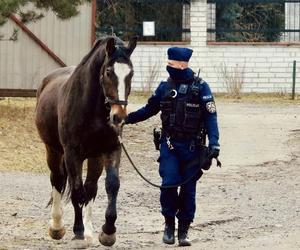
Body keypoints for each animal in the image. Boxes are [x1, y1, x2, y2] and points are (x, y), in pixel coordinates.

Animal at [35, 35, 137, 246]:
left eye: (131, 73)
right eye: (108, 72)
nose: (119, 117)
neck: (91, 109)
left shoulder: (111, 149)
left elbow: (111, 186)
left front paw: (107, 232)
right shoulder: (72, 154)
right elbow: (76, 191)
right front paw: (78, 232)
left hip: (94, 157)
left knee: (90, 188)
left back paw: (88, 231)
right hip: (53, 151)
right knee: (57, 179)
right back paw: (57, 227)